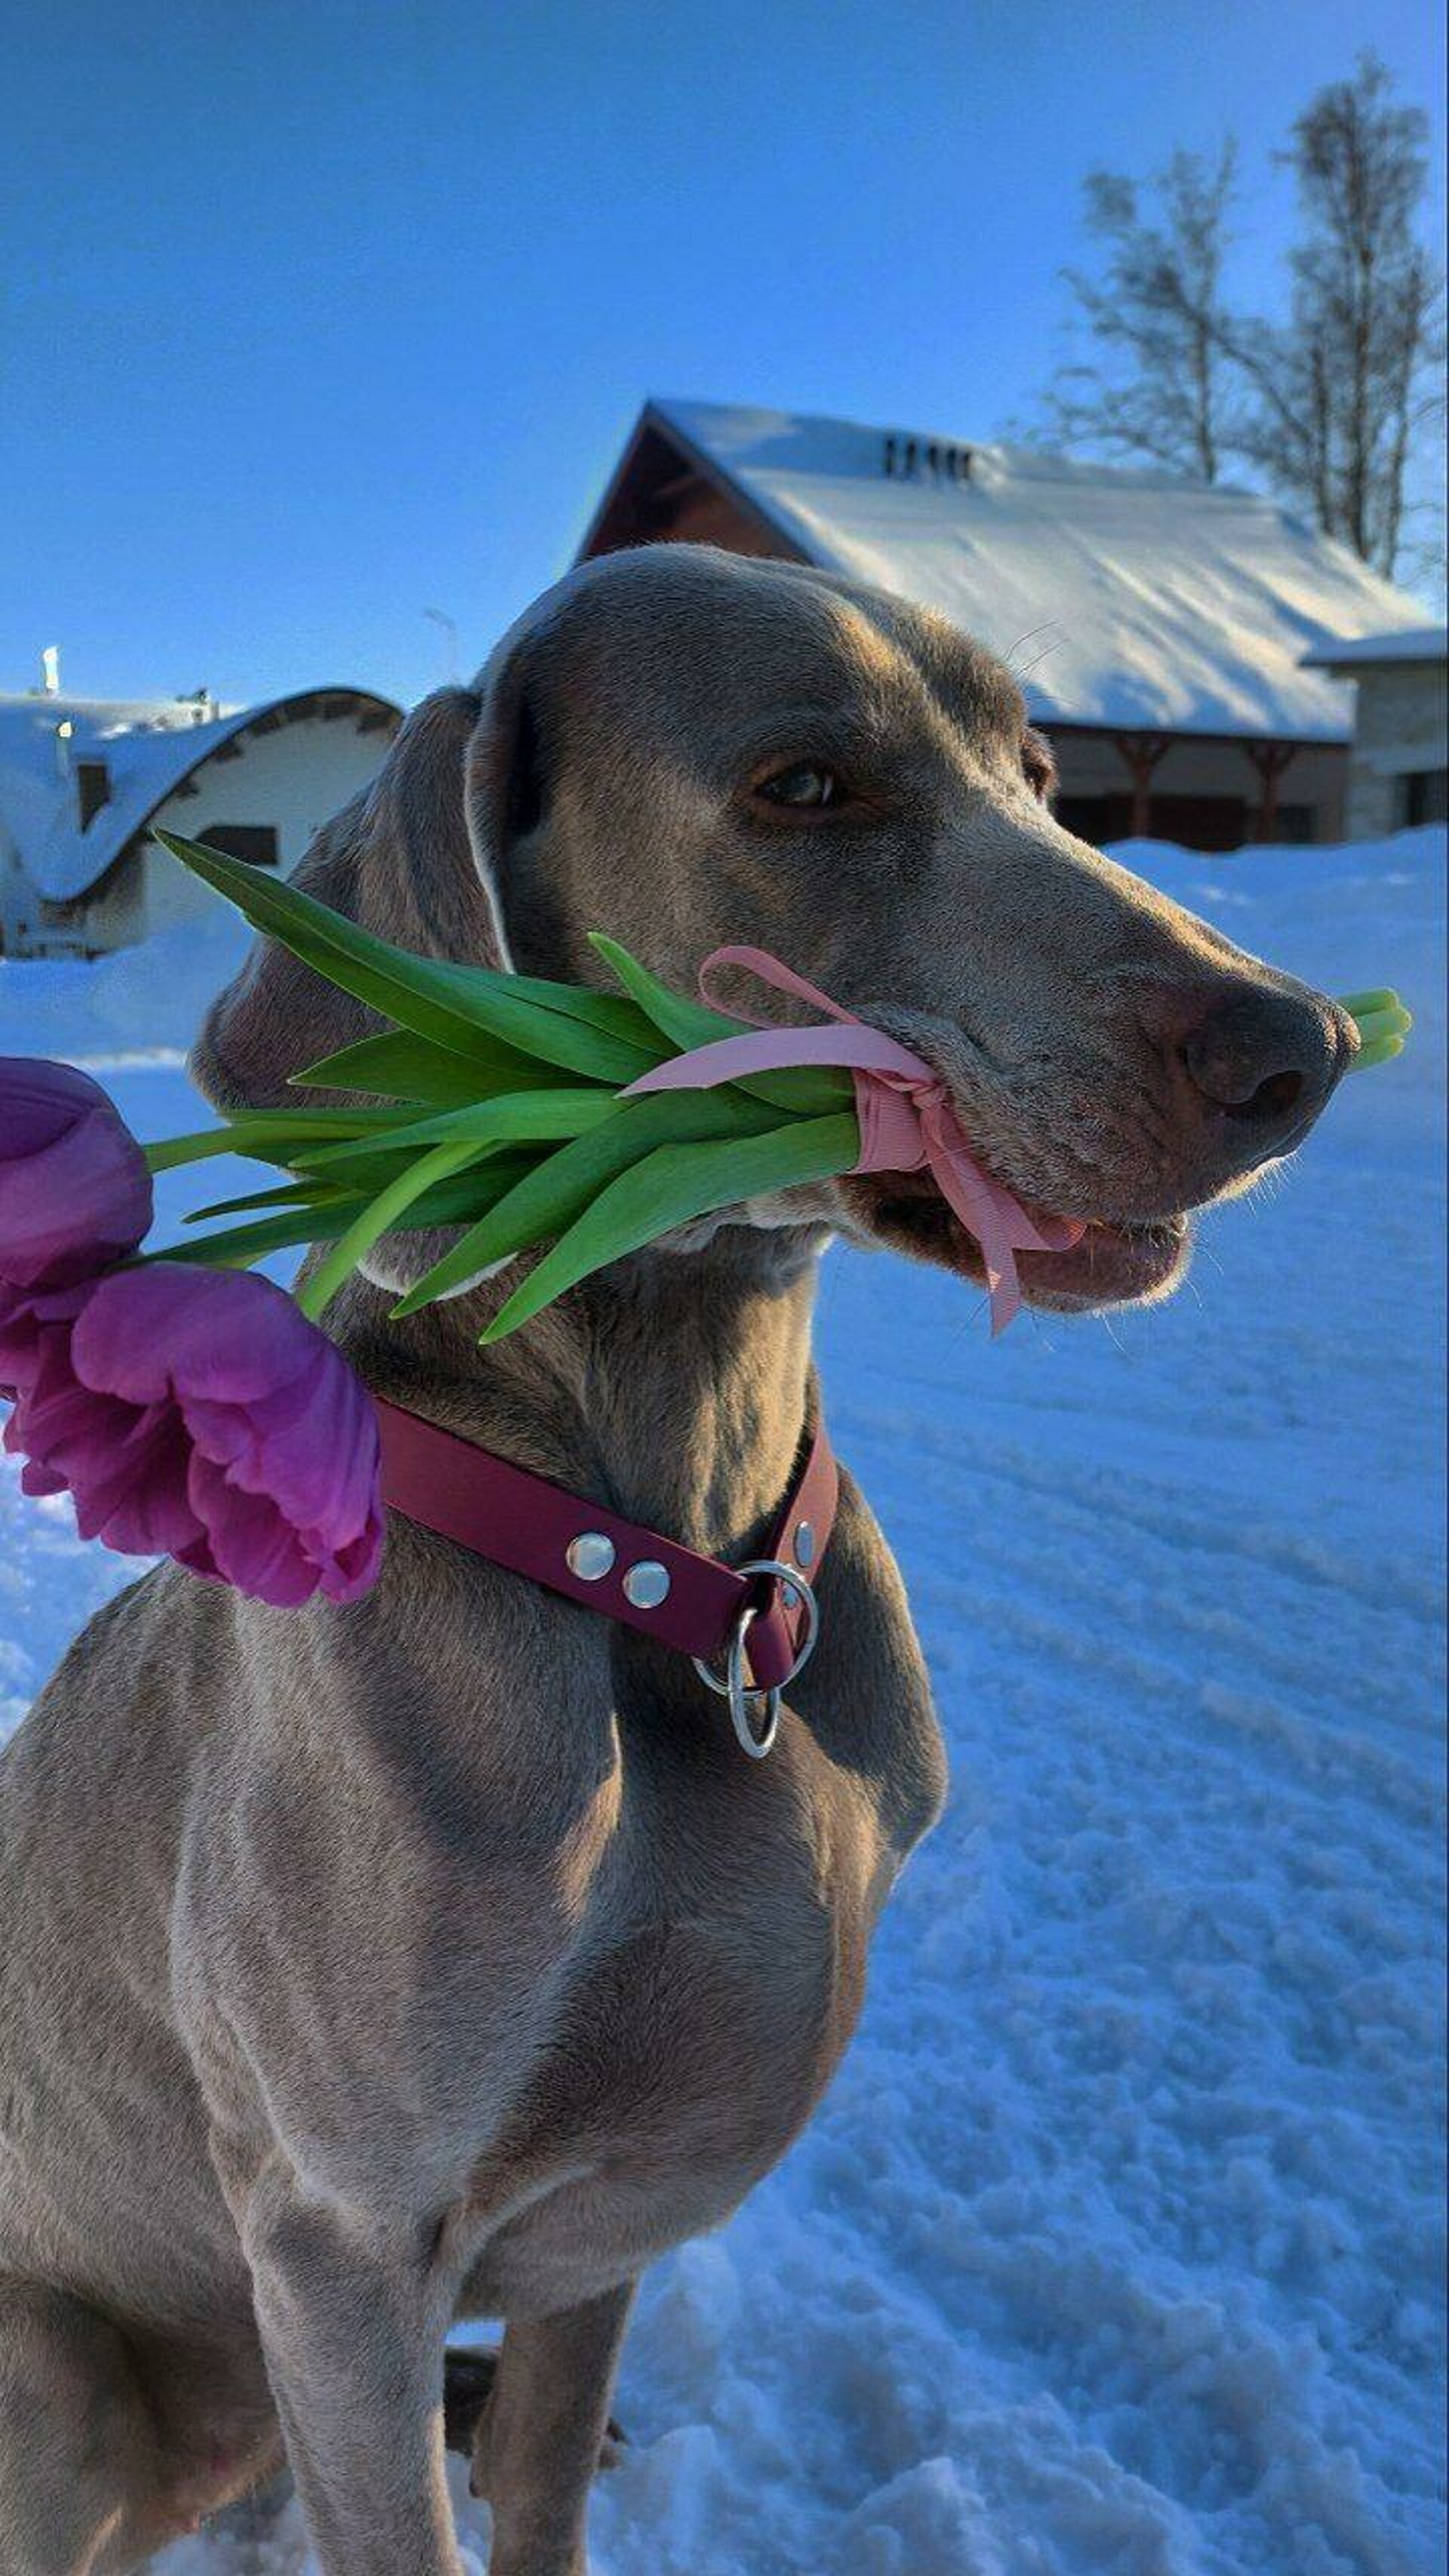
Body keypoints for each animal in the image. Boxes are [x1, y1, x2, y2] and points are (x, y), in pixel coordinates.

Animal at [0, 548, 1358, 2576]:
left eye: (1040, 769)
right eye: (805, 784)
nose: (1303, 1048)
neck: (680, 1576)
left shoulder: (598, 2222)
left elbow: (552, 2476)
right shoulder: (339, 2236)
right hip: (73, 2369)